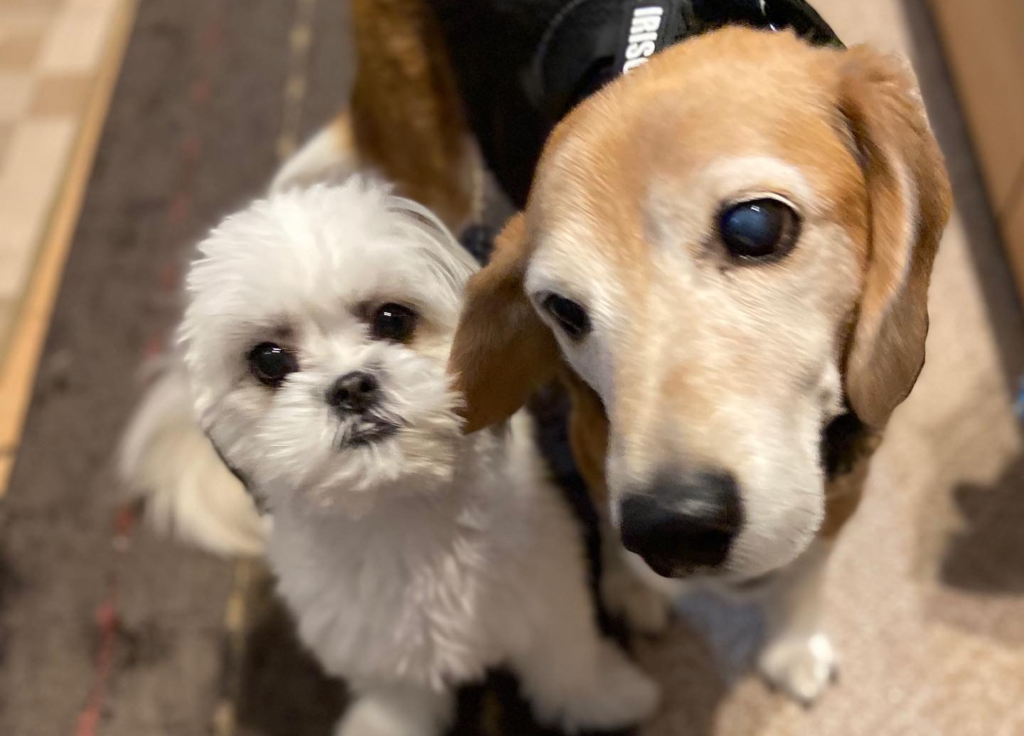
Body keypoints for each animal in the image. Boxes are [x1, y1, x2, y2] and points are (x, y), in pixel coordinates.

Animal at [117, 180, 655, 736]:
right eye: (268, 360)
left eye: (392, 318)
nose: (351, 387)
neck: (404, 518)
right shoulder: (380, 651)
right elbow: (402, 703)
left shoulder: (548, 592)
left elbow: (566, 659)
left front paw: (603, 697)